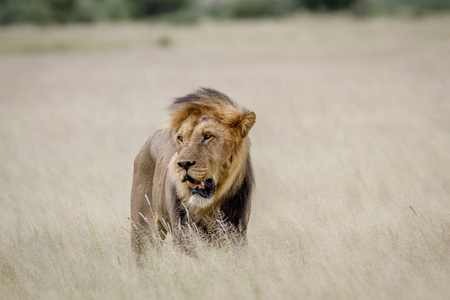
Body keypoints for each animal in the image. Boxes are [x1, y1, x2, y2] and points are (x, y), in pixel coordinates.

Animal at [130, 87, 256, 258]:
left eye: (207, 136)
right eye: (181, 138)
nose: (183, 164)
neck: (207, 208)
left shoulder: (236, 232)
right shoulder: (183, 233)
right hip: (143, 228)